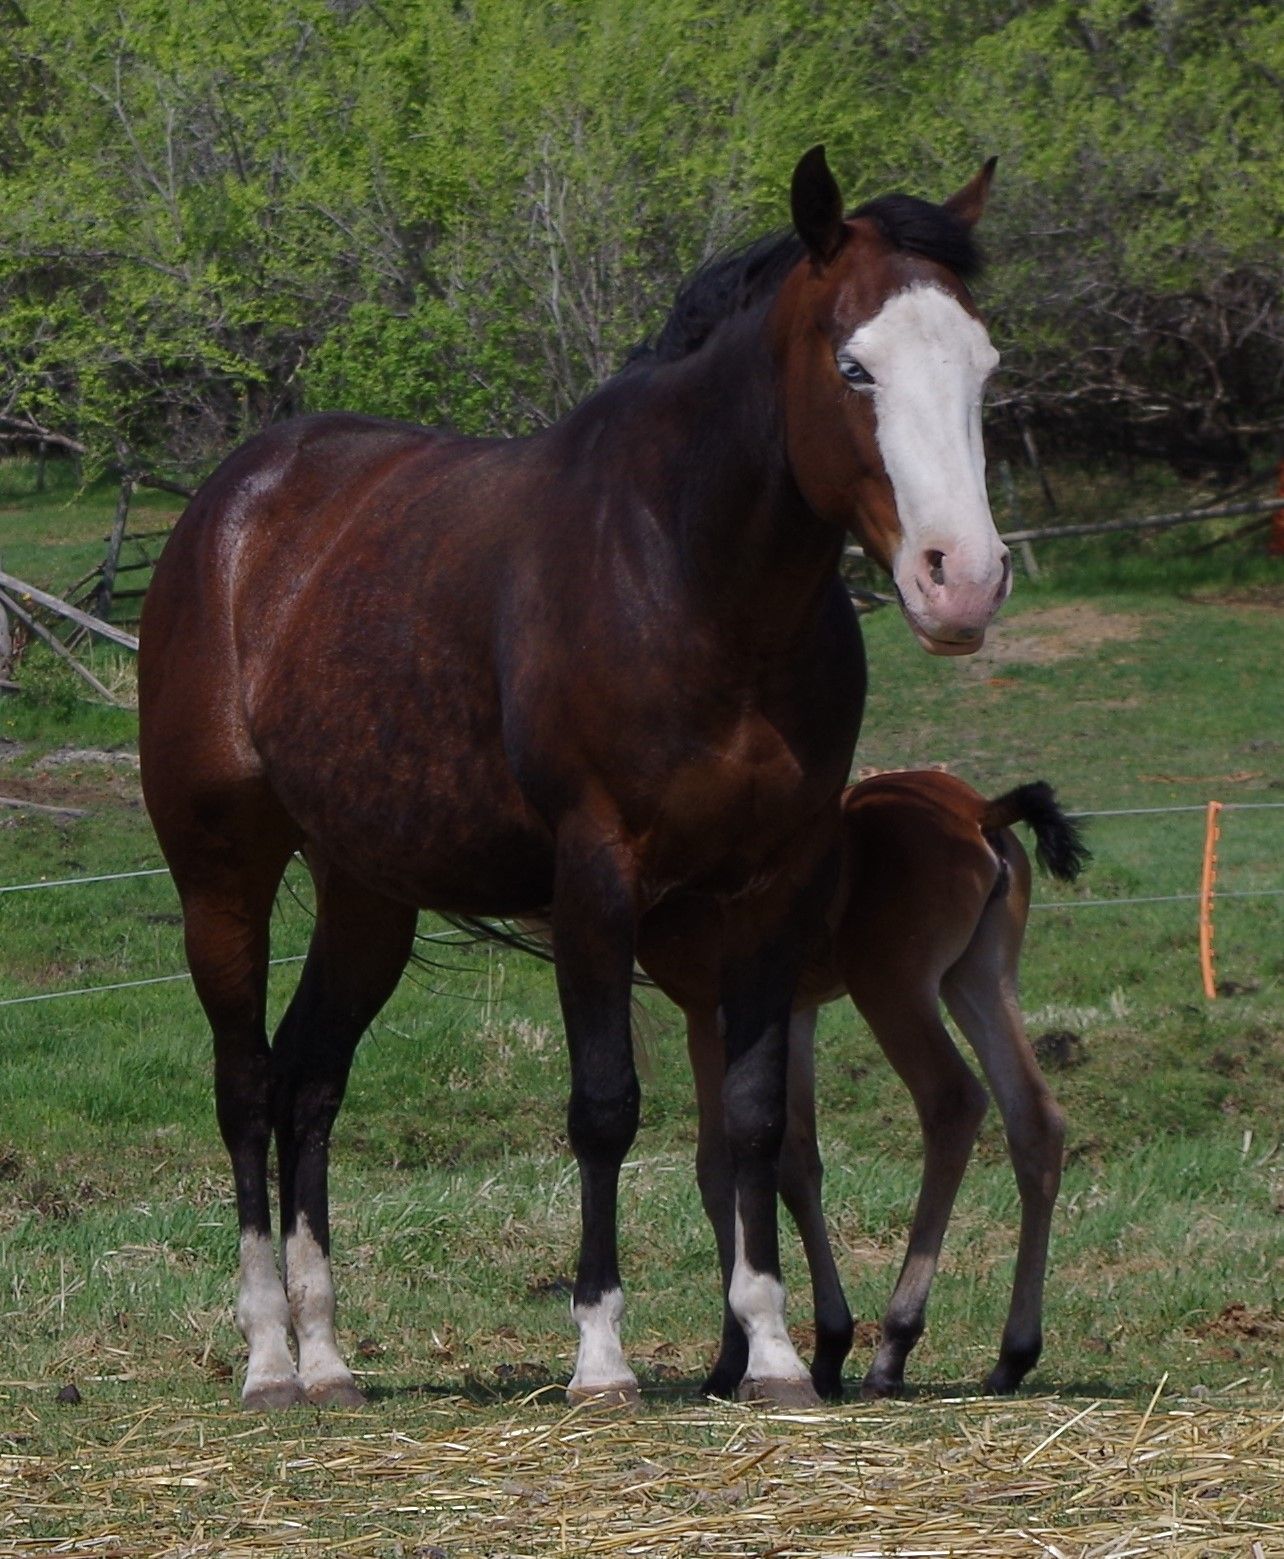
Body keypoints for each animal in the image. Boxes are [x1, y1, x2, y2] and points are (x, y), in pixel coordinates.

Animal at [138, 144, 1011, 1411]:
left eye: (984, 366)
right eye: (854, 364)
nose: (964, 579)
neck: (688, 577)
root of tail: (231, 507)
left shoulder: (775, 888)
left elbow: (754, 1122)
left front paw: (774, 1352)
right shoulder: (596, 877)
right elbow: (605, 1107)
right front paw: (601, 1355)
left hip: (368, 894)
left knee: (309, 1080)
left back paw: (329, 1356)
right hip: (222, 875)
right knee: (248, 1084)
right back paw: (266, 1359)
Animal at [638, 770, 1086, 1401]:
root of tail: (978, 811)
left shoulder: (707, 1012)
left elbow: (717, 1167)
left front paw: (732, 1359)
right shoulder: (794, 1012)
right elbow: (796, 1160)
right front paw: (827, 1348)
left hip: (894, 987)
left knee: (953, 1101)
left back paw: (894, 1347)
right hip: (980, 976)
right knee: (1035, 1117)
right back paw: (1012, 1356)